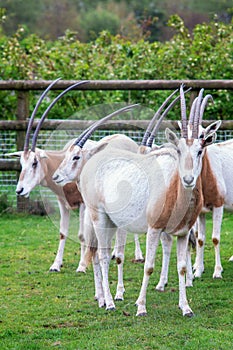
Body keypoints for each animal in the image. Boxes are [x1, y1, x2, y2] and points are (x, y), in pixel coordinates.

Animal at [72, 85, 221, 318]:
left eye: (199, 150)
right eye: (179, 150)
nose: (188, 179)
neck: (173, 189)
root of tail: (93, 161)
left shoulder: (182, 233)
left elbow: (182, 267)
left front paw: (186, 307)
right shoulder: (154, 228)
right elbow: (148, 266)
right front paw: (141, 307)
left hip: (113, 221)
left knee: (100, 253)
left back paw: (104, 299)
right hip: (99, 217)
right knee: (102, 255)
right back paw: (109, 302)